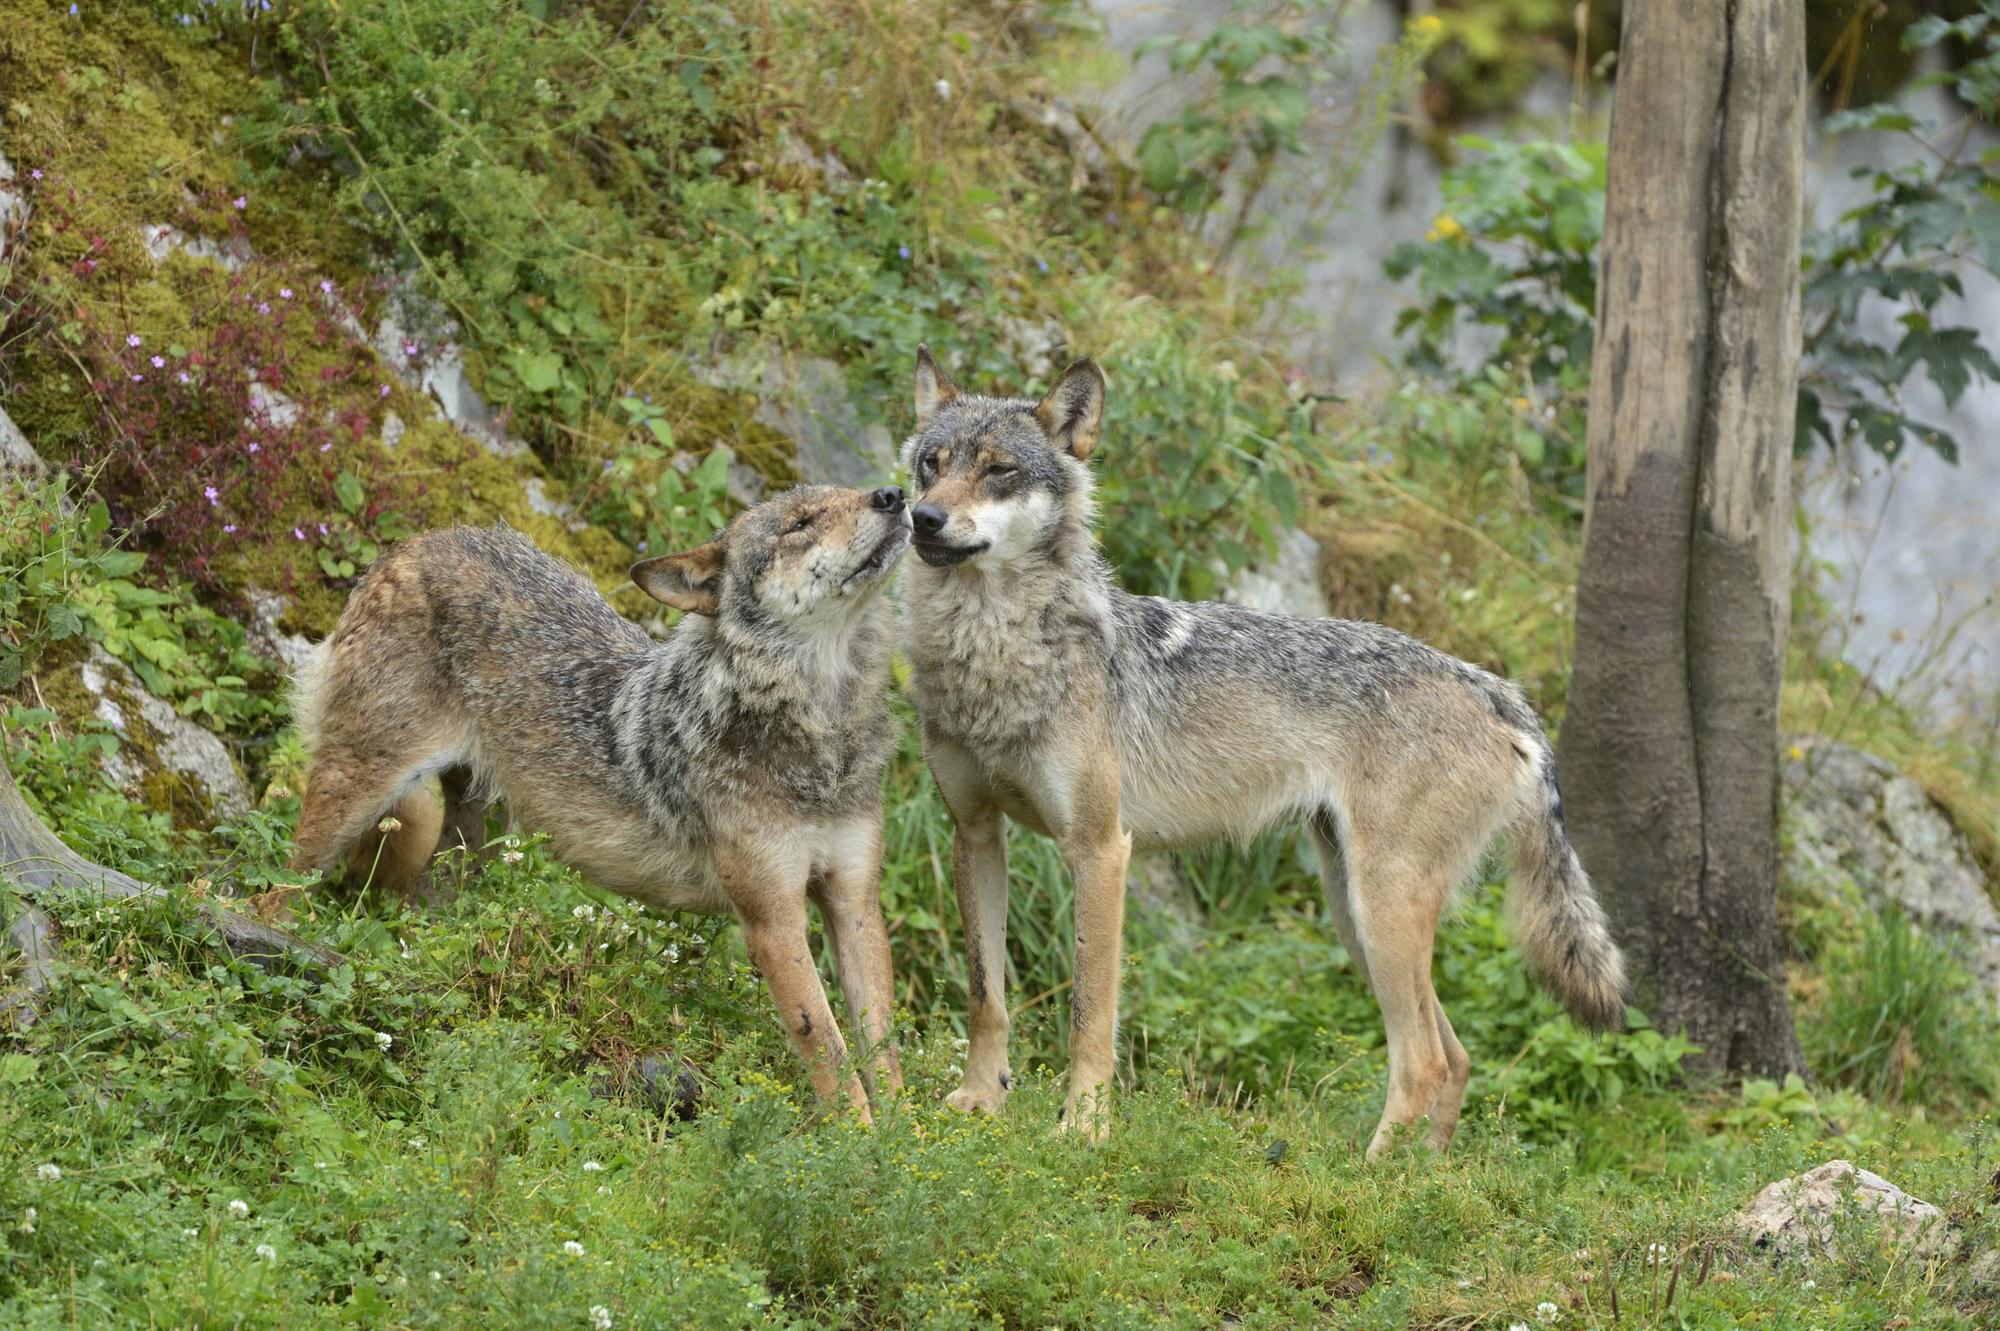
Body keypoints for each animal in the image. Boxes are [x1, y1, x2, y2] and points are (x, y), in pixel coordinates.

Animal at [289, 485, 914, 1116]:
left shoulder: (854, 900)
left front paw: (905, 1132)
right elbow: (829, 1050)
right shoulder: (774, 922)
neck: (823, 731)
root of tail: (419, 542)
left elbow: (882, 1051)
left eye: (850, 492)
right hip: (354, 799)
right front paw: (859, 1136)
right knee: (280, 886)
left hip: (475, 840)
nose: (892, 494)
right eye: (800, 524)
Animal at [896, 347, 1626, 1152]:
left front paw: (1083, 1131)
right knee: (1458, 1056)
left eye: (999, 471)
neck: (995, 652)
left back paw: (1368, 1175)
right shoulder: (975, 831)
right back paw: (1422, 1173)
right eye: (931, 465)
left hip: (1380, 908)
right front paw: (978, 1100)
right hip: (1354, 910)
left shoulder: (1100, 849)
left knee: (1425, 1062)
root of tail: (1496, 688)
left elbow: (1089, 1012)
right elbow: (984, 993)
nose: (920, 517)